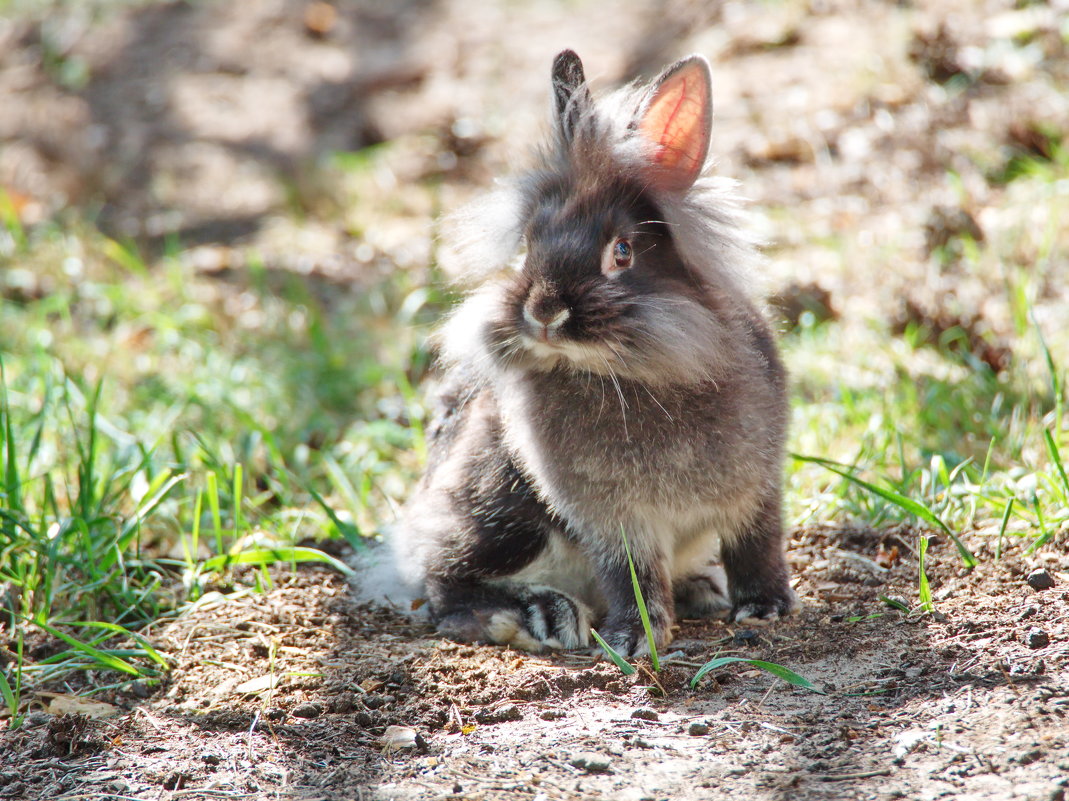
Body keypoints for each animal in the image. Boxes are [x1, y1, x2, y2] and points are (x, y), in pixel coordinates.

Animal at [393, 48, 795, 654]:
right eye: (529, 245)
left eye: (622, 252)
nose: (543, 312)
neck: (624, 375)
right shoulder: (614, 522)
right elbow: (631, 577)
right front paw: (635, 639)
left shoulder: (758, 490)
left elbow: (758, 547)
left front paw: (766, 608)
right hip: (500, 511)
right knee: (443, 584)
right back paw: (542, 615)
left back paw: (700, 589)